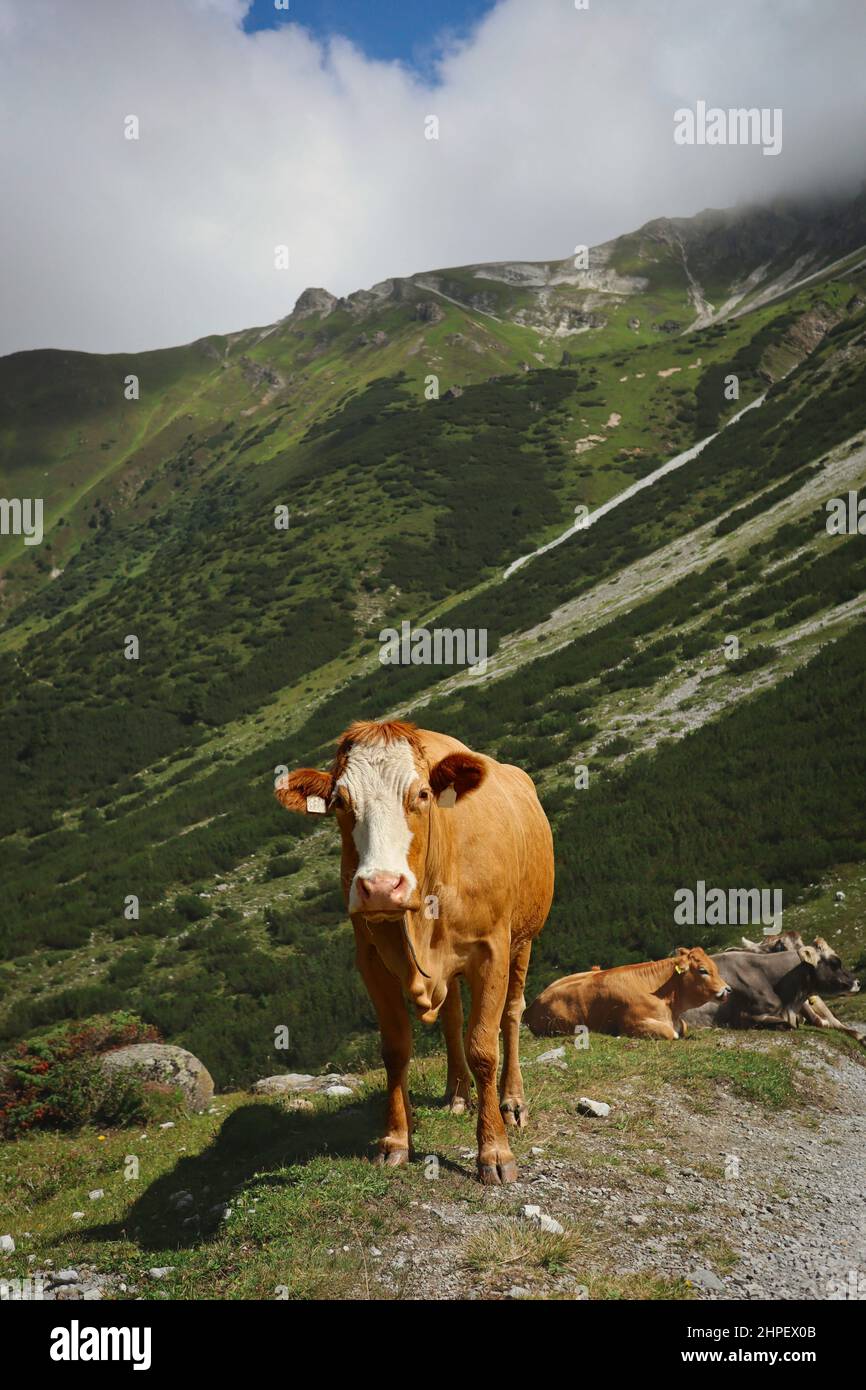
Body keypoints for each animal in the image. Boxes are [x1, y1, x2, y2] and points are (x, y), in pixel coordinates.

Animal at [276, 717, 556, 1184]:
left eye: (422, 795)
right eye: (339, 801)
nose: (379, 886)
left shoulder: (492, 950)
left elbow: (484, 1047)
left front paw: (494, 1151)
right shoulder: (371, 960)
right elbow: (395, 1049)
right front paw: (395, 1140)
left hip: (525, 938)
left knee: (512, 1014)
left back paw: (512, 1101)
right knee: (452, 1017)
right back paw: (457, 1094)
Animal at [522, 945, 733, 1045]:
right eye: (703, 970)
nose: (728, 989)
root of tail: (533, 1004)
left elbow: (683, 1027)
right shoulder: (631, 1023)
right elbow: (671, 1033)